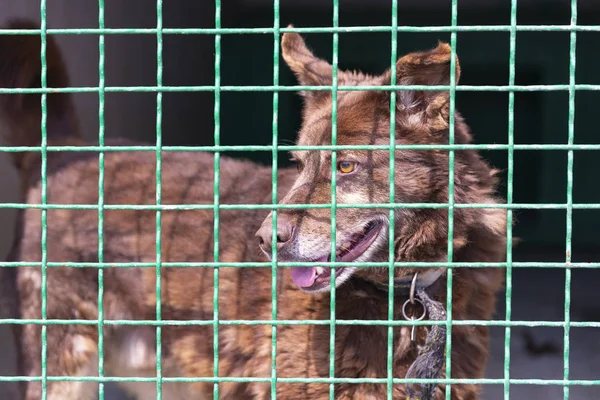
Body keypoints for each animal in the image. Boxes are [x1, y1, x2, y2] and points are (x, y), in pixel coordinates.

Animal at [0, 18, 506, 400]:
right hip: (63, 361)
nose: (264, 240)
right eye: (299, 164)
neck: (400, 291)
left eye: (345, 165)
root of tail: (63, 149)